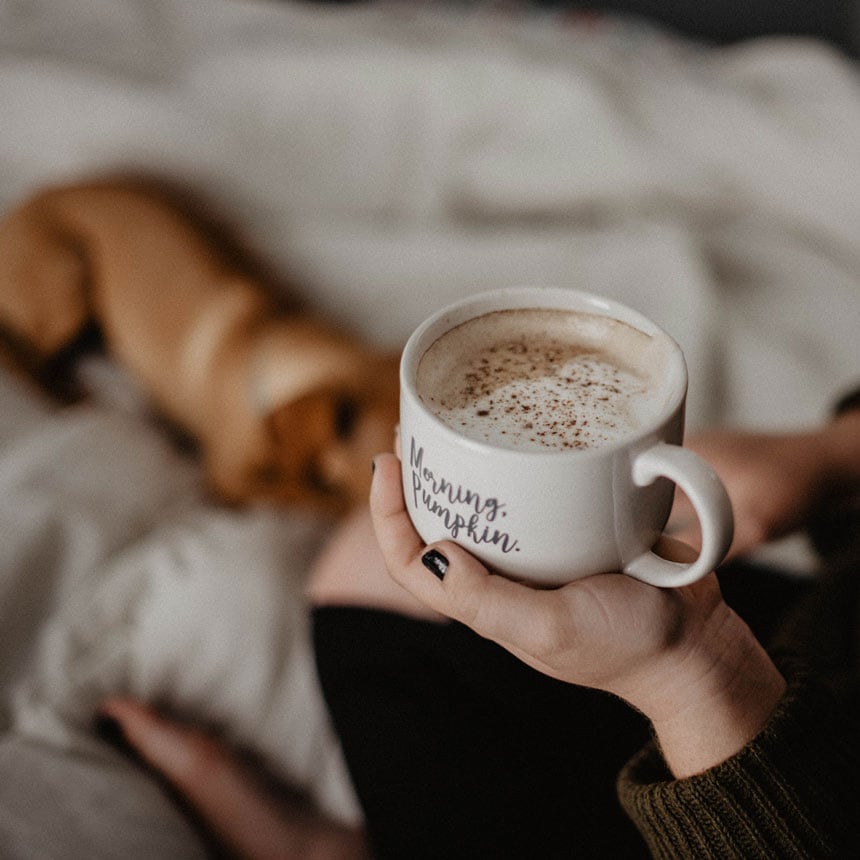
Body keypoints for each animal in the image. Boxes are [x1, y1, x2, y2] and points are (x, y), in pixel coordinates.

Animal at [0, 176, 400, 510]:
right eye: (378, 464)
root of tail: (12, 216)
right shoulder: (230, 478)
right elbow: (313, 499)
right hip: (66, 283)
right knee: (23, 359)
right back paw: (66, 392)